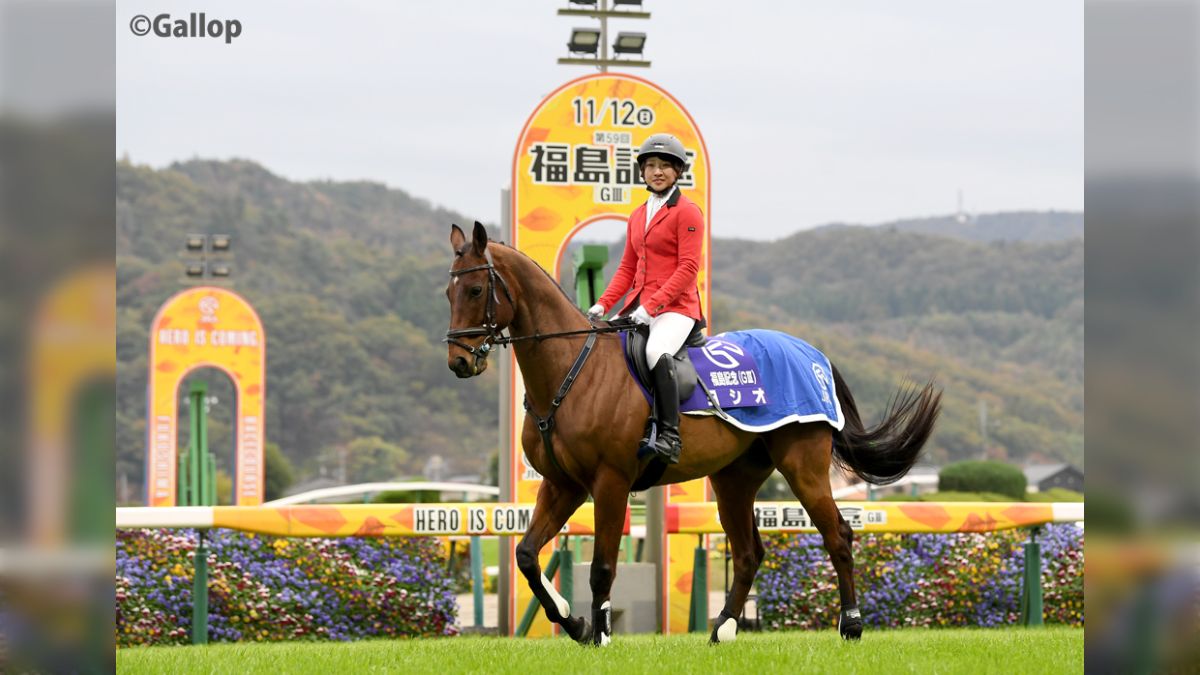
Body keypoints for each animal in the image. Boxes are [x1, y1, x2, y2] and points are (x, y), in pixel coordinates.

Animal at [444, 222, 941, 645]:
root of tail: (811, 354)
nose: (459, 362)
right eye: (448, 291)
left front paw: (600, 633)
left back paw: (851, 625)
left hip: (804, 468)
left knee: (837, 535)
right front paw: (575, 622)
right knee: (748, 552)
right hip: (734, 479)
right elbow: (527, 555)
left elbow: (602, 566)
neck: (572, 370)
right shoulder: (563, 484)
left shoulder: (610, 482)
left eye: (475, 289)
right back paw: (723, 628)